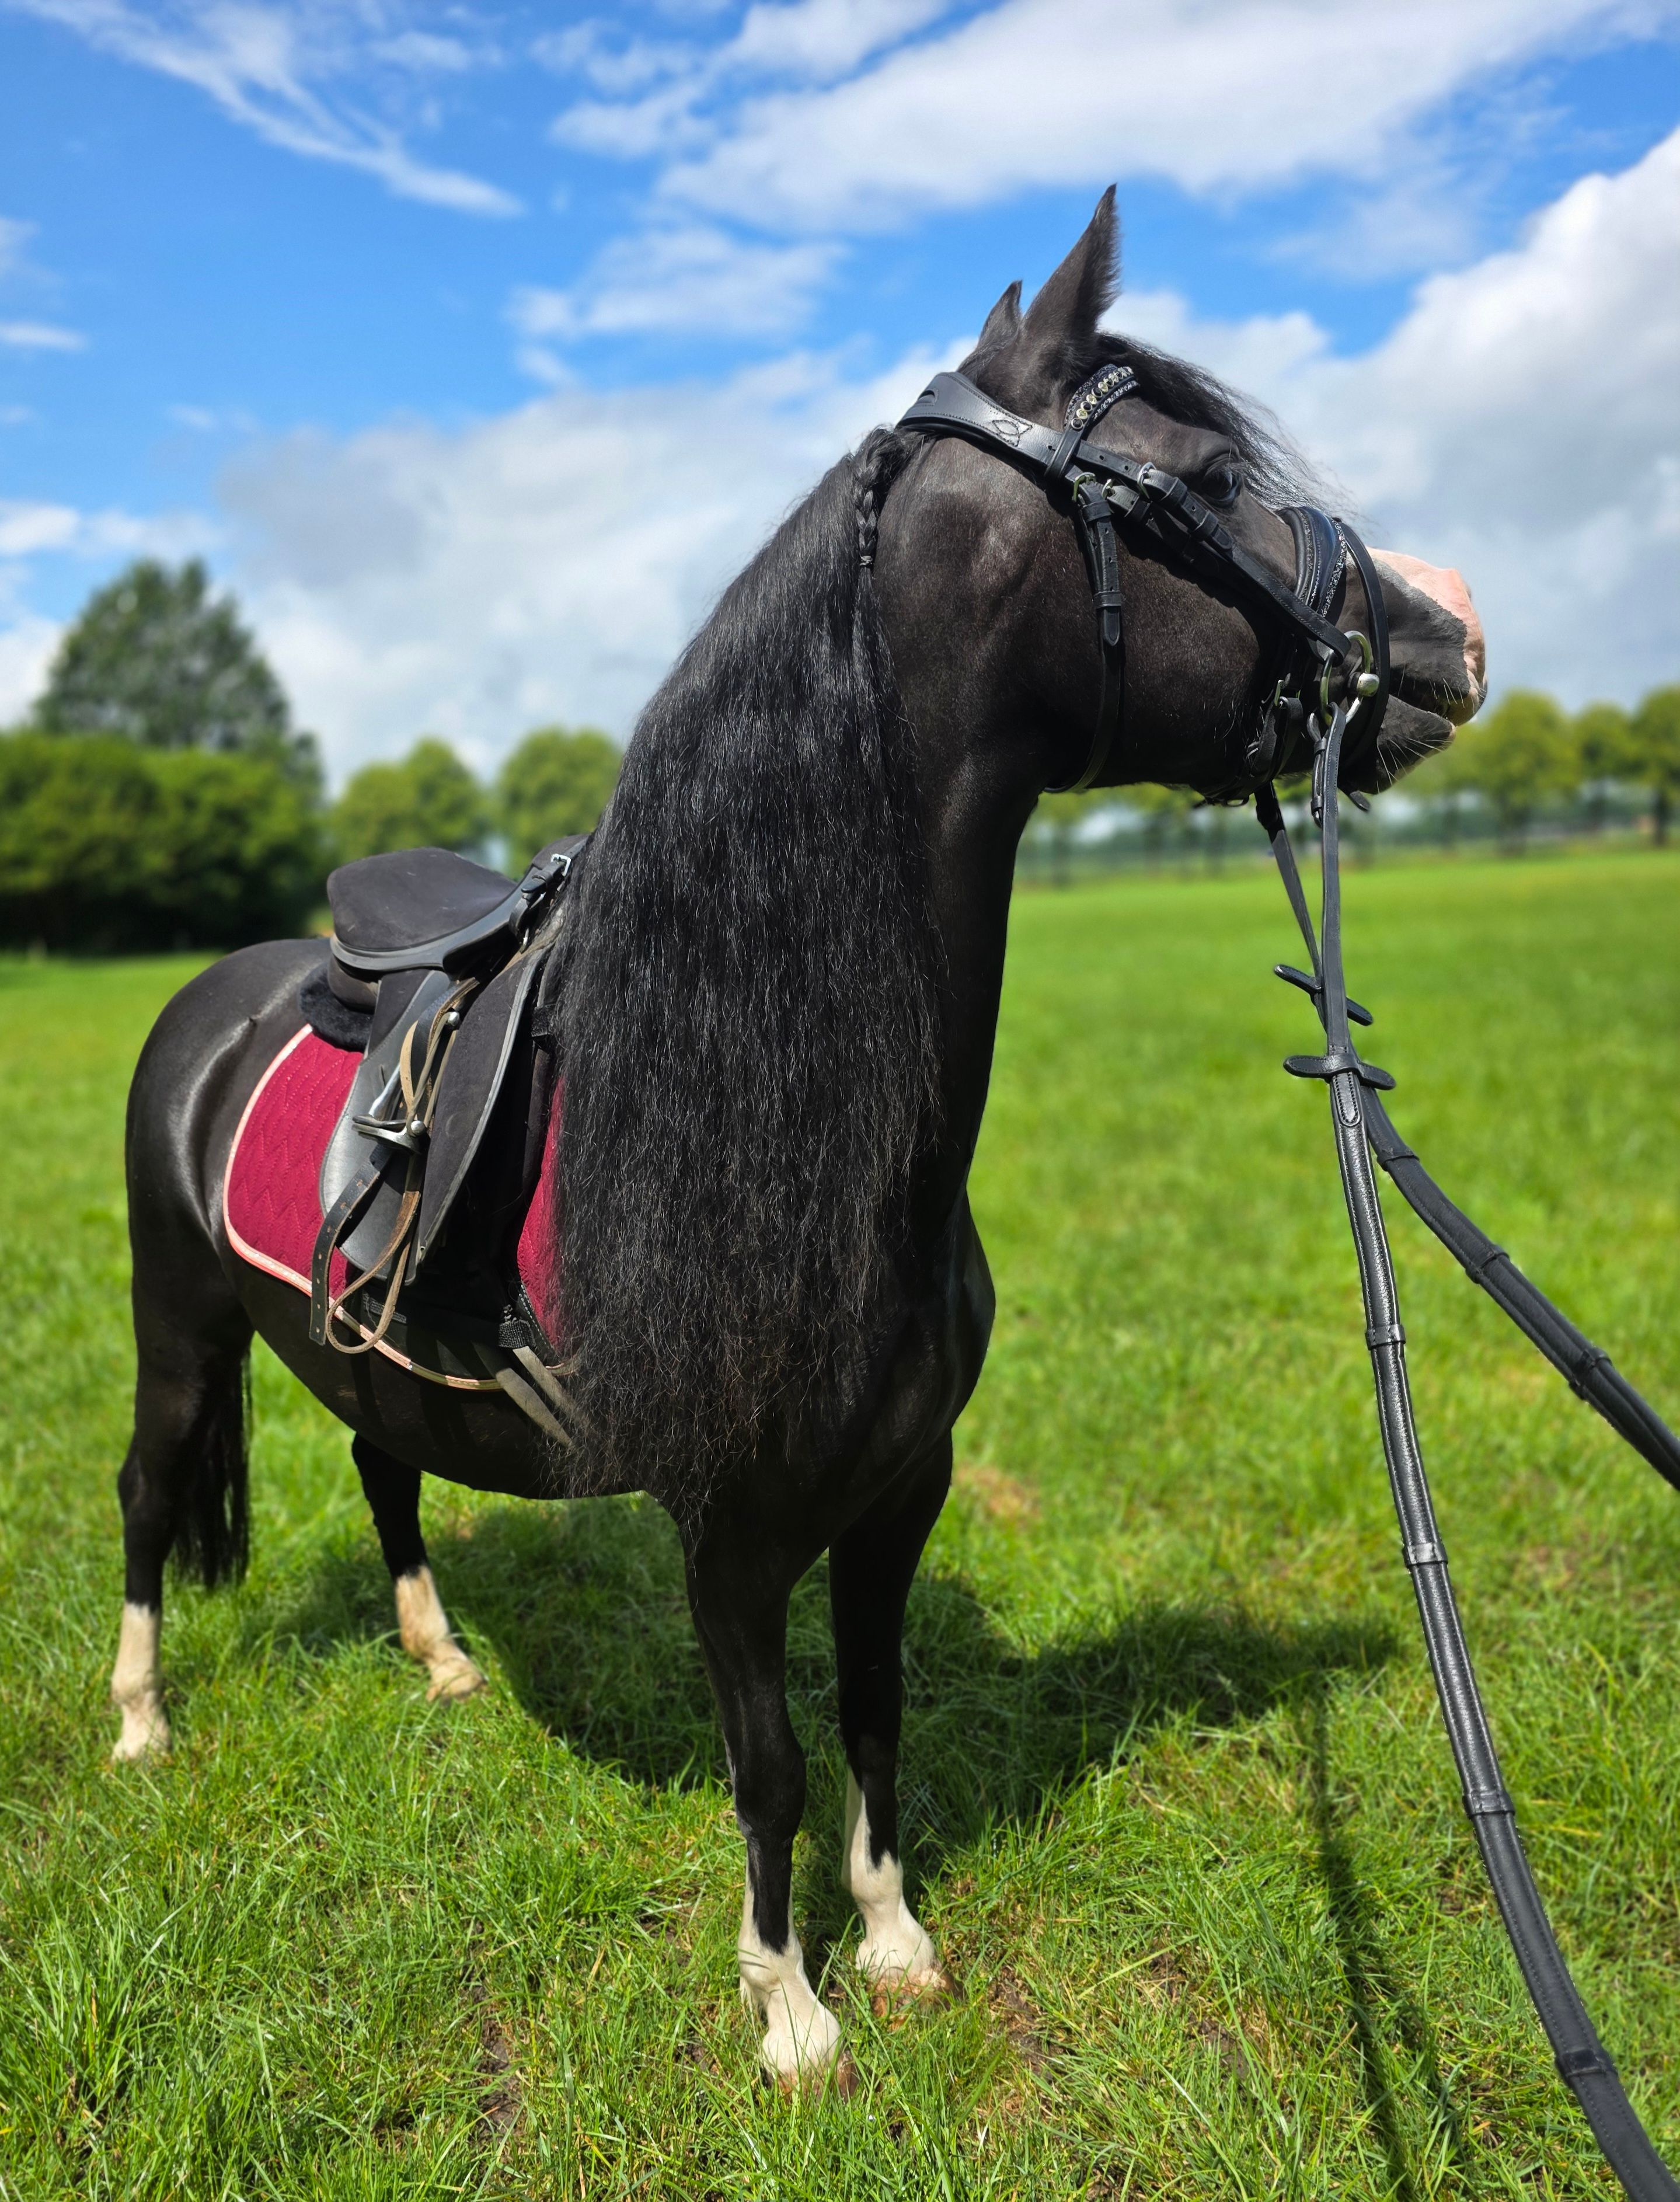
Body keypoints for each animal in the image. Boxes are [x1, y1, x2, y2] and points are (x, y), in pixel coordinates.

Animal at [108, 192, 1485, 2090]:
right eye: (1206, 476)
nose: (1447, 633)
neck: (807, 1145)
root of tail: (213, 996)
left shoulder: (898, 1490)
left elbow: (876, 1712)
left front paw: (893, 1942)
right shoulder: (732, 1531)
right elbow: (766, 1759)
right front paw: (790, 2010)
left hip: (356, 1350)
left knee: (387, 1467)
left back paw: (442, 1664)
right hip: (178, 1324)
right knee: (147, 1489)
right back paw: (140, 1726)